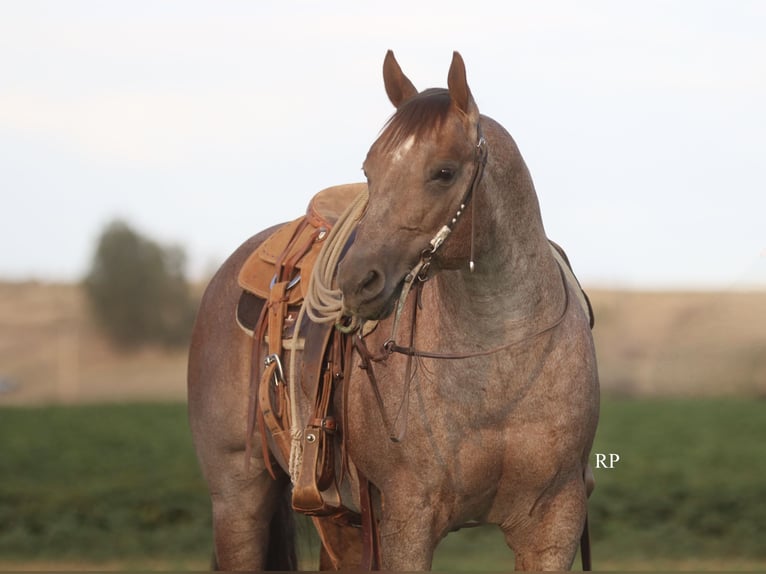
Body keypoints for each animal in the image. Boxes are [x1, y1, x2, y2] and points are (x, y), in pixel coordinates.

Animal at [188, 50, 599, 571]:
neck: (498, 362)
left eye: (444, 172)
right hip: (238, 499)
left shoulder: (554, 521)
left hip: (339, 520)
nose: (355, 281)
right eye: (370, 170)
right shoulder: (408, 518)